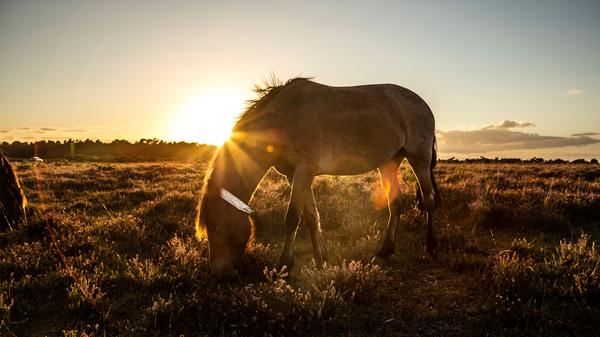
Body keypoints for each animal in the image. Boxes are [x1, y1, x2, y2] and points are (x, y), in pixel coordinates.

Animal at [197, 77, 440, 278]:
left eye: (214, 226)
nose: (219, 272)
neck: (282, 119)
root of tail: (422, 104)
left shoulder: (303, 172)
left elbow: (292, 218)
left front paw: (284, 264)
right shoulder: (294, 175)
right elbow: (311, 216)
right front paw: (321, 258)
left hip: (419, 159)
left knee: (428, 201)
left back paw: (430, 247)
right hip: (388, 164)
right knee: (396, 202)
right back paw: (384, 251)